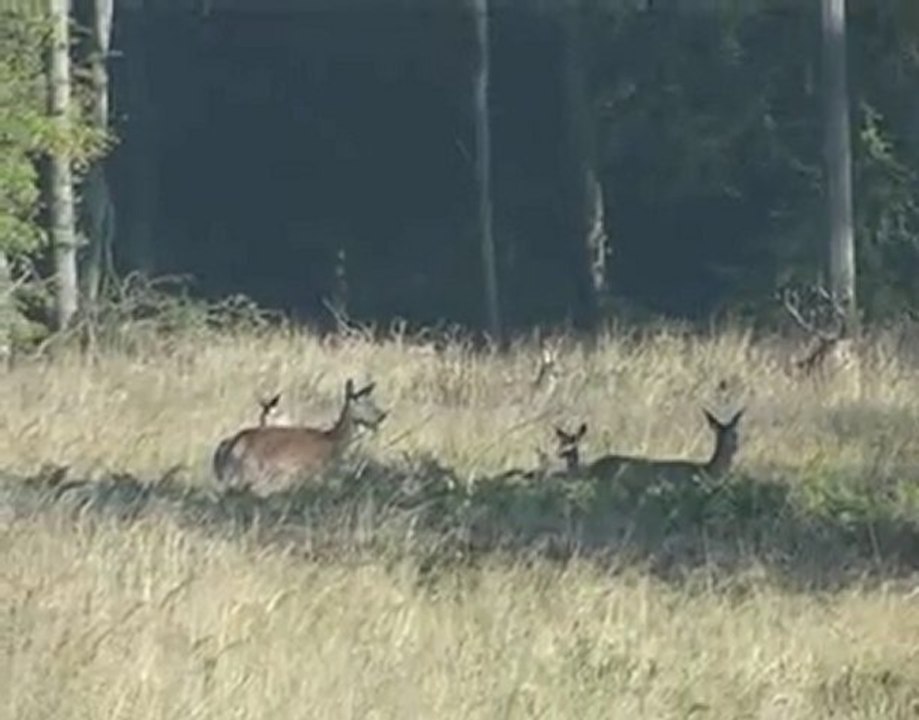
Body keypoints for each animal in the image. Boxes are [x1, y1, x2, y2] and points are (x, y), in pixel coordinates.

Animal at [212, 379, 387, 493]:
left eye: (372, 400)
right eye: (361, 402)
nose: (382, 415)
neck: (333, 442)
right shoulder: (319, 471)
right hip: (253, 472)